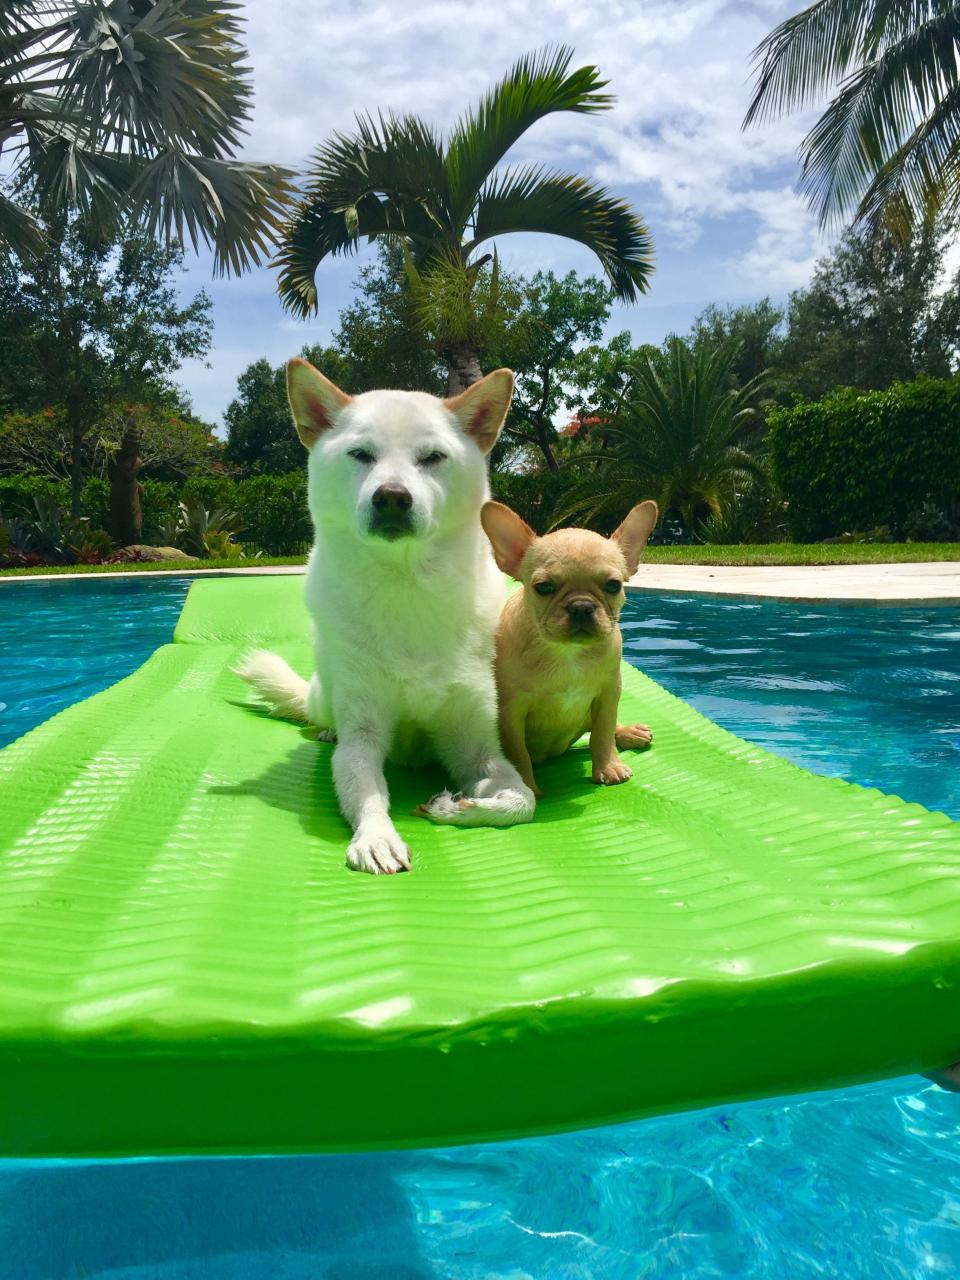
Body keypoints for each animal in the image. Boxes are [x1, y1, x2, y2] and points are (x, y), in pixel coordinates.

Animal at [232, 355, 535, 875]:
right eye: (361, 455)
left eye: (432, 457)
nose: (392, 496)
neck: (405, 585)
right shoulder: (363, 735)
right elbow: (367, 791)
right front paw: (376, 837)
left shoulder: (476, 742)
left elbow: (523, 801)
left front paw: (462, 808)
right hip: (325, 693)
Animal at [481, 496, 660, 788]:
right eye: (543, 587)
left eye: (614, 585)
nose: (581, 606)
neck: (567, 653)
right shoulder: (510, 711)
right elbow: (517, 752)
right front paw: (527, 787)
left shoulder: (608, 693)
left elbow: (603, 732)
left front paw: (609, 767)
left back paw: (629, 733)